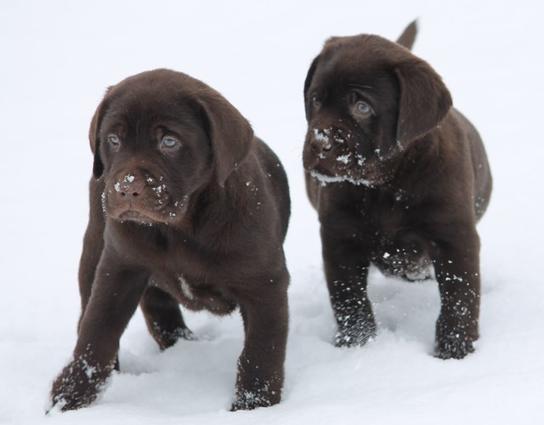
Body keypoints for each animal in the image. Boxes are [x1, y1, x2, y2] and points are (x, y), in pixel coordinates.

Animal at [49, 68, 292, 410]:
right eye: (114, 139)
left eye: (169, 142)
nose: (126, 187)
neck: (181, 228)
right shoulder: (120, 266)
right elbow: (97, 333)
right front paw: (68, 399)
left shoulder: (264, 284)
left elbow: (261, 350)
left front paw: (254, 407)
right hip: (95, 247)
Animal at [304, 24, 490, 358]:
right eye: (315, 100)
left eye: (362, 107)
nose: (318, 143)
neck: (387, 184)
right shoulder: (340, 237)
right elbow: (349, 298)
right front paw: (357, 344)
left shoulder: (455, 236)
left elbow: (460, 295)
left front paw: (454, 349)